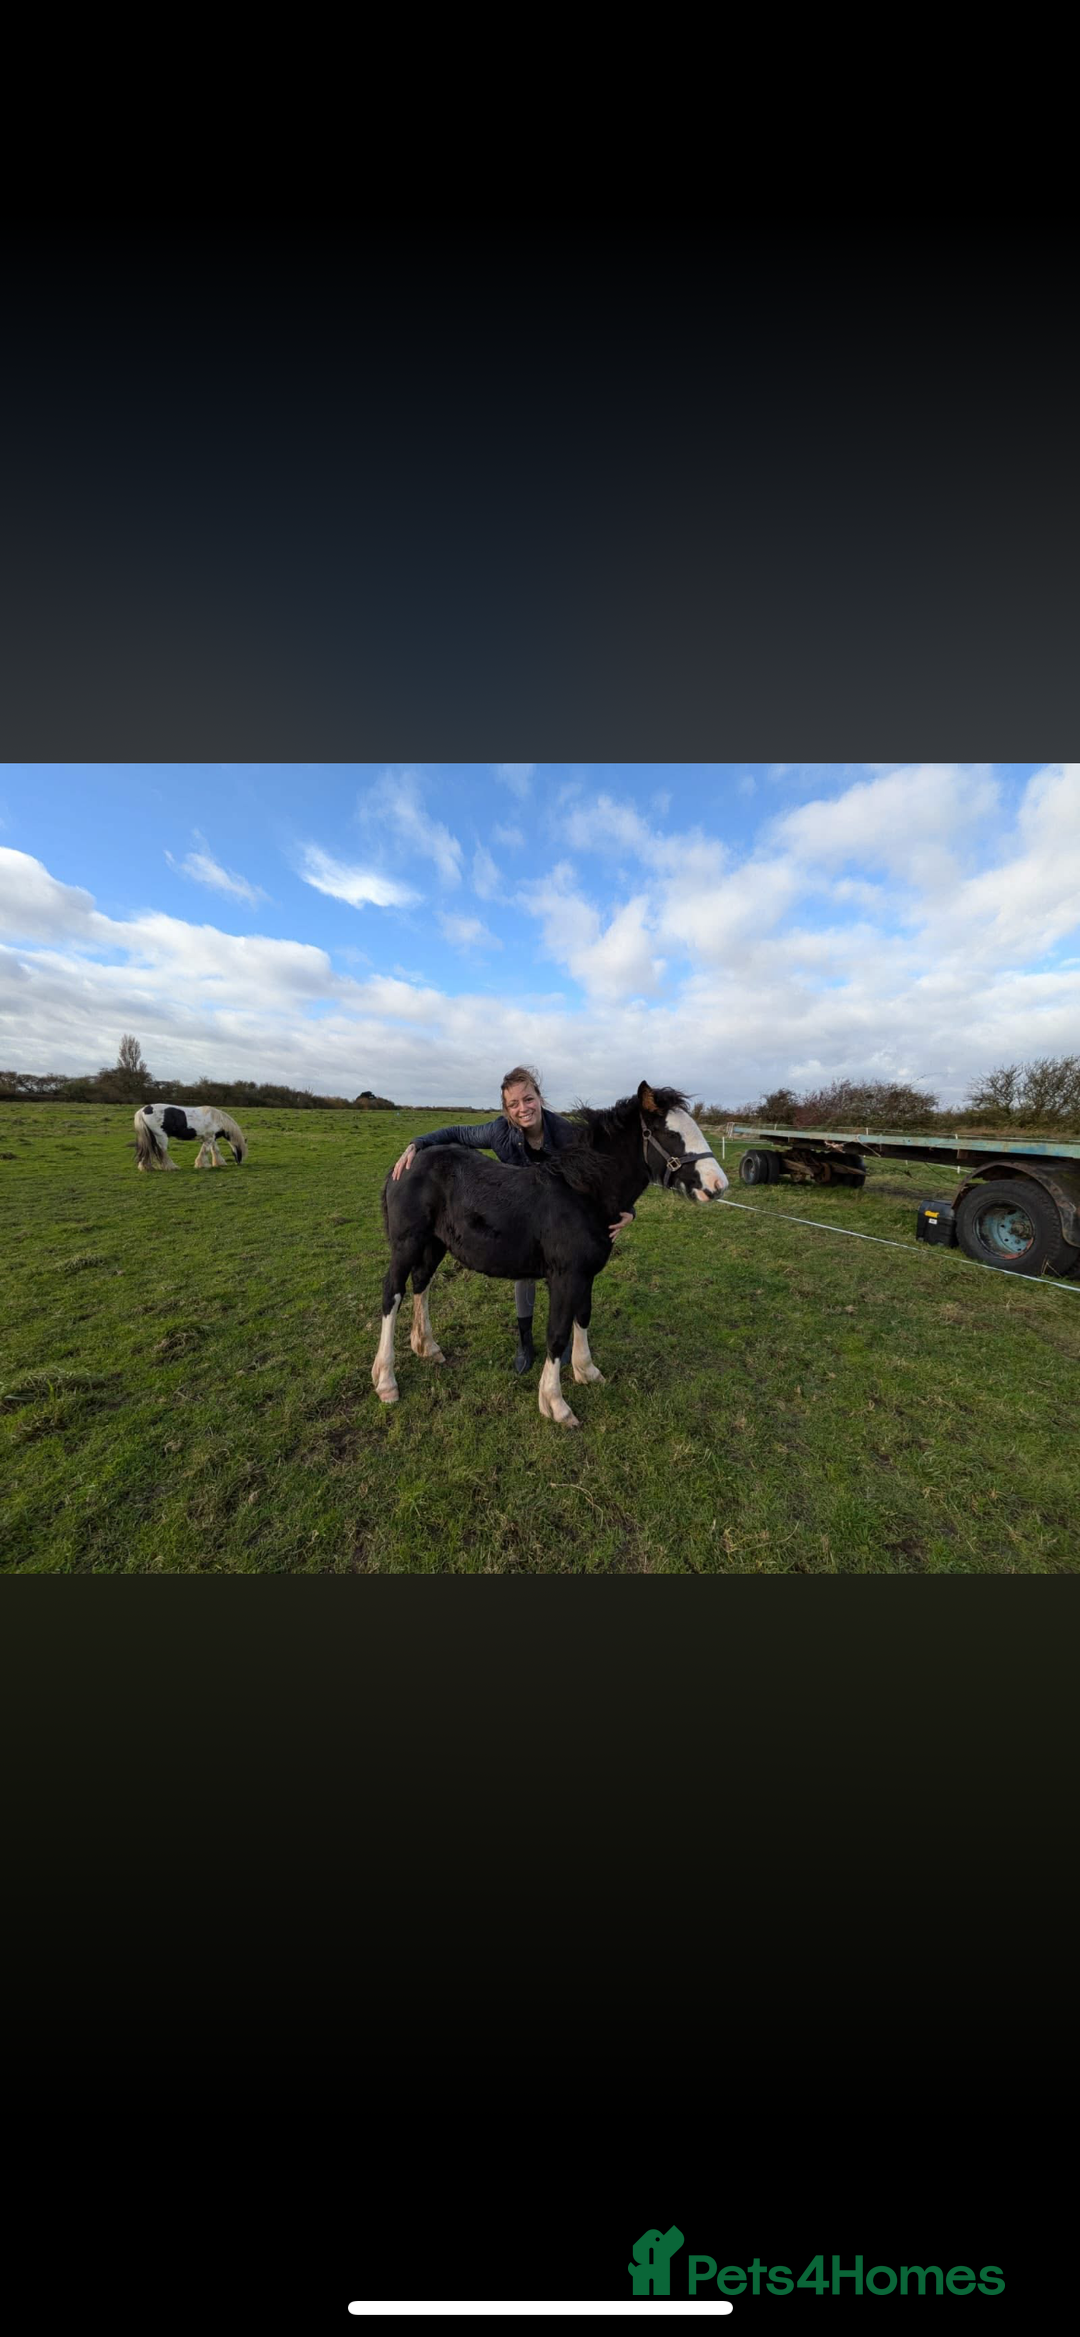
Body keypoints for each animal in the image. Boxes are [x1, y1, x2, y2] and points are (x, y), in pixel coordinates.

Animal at [372, 1081, 729, 1427]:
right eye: (669, 1134)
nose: (718, 1185)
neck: (582, 1193)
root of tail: (404, 1164)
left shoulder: (585, 1274)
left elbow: (582, 1316)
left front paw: (587, 1371)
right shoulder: (564, 1276)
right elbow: (557, 1334)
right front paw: (555, 1405)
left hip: (434, 1244)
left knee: (422, 1283)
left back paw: (427, 1347)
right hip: (406, 1243)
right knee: (393, 1293)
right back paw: (386, 1381)